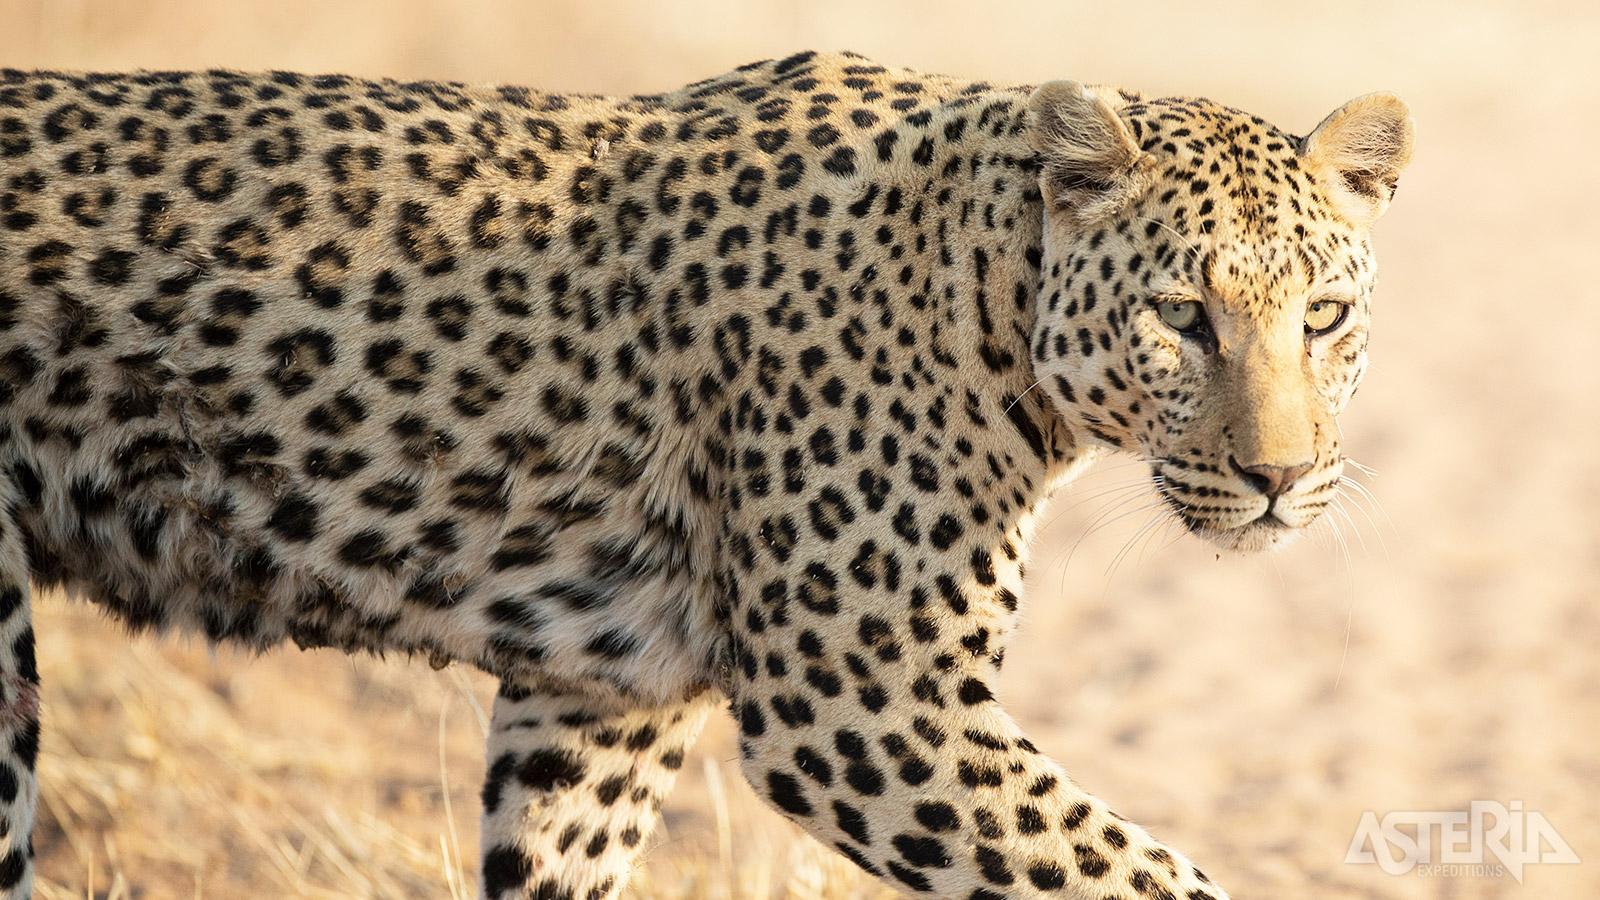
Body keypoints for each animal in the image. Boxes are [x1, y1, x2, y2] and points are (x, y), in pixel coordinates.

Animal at [0, 50, 1408, 896]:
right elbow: (1141, 873)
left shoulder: (602, 704)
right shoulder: (866, 705)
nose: (1280, 477)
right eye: (1180, 317)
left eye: (1325, 318)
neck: (986, 290)